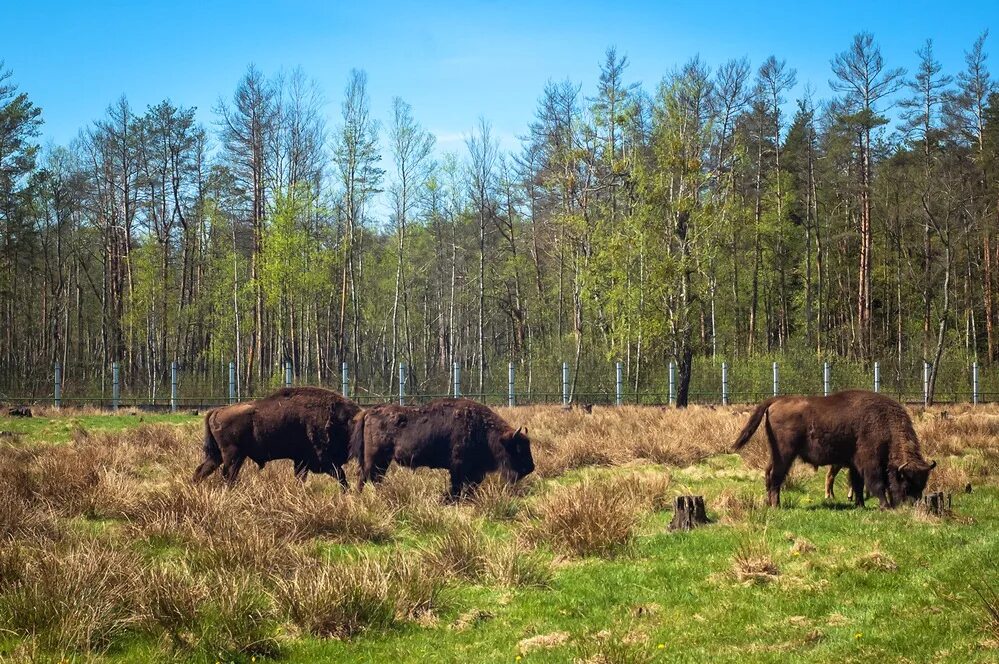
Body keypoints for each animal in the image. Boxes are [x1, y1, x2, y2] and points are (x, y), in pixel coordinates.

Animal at [191, 384, 360, 488]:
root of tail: (216, 411)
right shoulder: (323, 460)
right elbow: (341, 476)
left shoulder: (302, 461)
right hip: (233, 455)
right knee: (228, 475)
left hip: (220, 455)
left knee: (202, 470)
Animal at [354, 396, 536, 500]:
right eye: (518, 447)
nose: (530, 468)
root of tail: (369, 411)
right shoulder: (458, 467)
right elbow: (456, 486)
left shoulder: (476, 472)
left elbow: (470, 488)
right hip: (373, 458)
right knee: (364, 477)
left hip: (383, 461)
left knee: (375, 478)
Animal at [736, 390, 936, 508]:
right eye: (906, 484)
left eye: (922, 484)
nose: (911, 506)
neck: (885, 424)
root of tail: (776, 401)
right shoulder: (869, 463)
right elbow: (876, 484)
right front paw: (884, 506)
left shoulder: (855, 465)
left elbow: (857, 484)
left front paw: (860, 505)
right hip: (785, 454)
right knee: (776, 476)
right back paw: (776, 505)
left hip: (776, 453)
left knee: (768, 473)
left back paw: (770, 503)